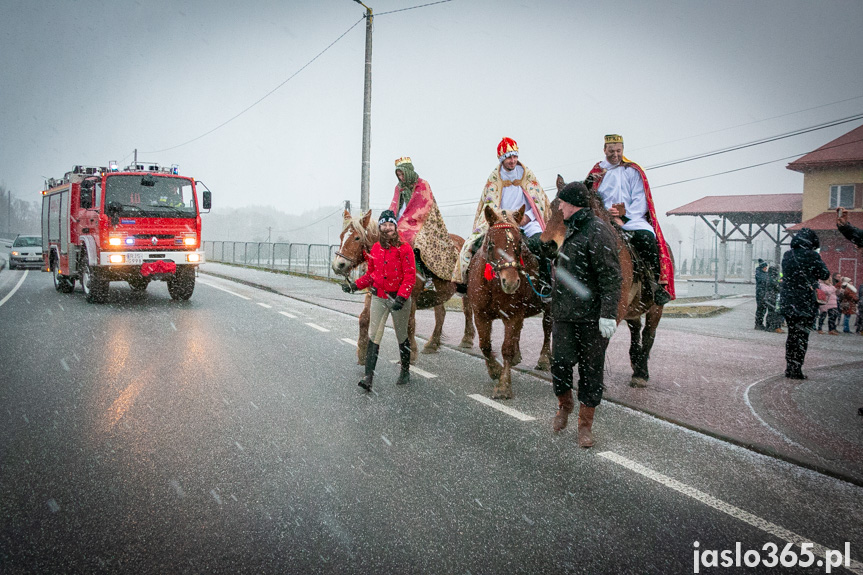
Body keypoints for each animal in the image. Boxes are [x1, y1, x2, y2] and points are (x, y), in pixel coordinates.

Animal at [332, 210, 480, 364]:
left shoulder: (409, 298)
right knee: (441, 315)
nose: (338, 265)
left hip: (466, 288)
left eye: (357, 238)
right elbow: (364, 319)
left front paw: (411, 354)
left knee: (467, 310)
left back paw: (467, 339)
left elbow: (409, 323)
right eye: (341, 236)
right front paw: (362, 353)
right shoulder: (373, 295)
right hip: (439, 294)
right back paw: (432, 343)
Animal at [470, 205, 552, 398]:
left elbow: (506, 348)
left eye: (520, 244)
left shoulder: (513, 315)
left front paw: (503, 386)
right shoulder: (480, 314)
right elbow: (485, 345)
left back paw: (544, 359)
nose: (511, 282)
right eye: (491, 243)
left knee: (547, 328)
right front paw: (495, 370)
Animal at [544, 176, 672, 390]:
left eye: (567, 209)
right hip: (633, 307)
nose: (546, 244)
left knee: (648, 333)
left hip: (655, 307)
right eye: (553, 207)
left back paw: (641, 373)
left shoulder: (614, 308)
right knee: (635, 329)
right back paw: (635, 360)